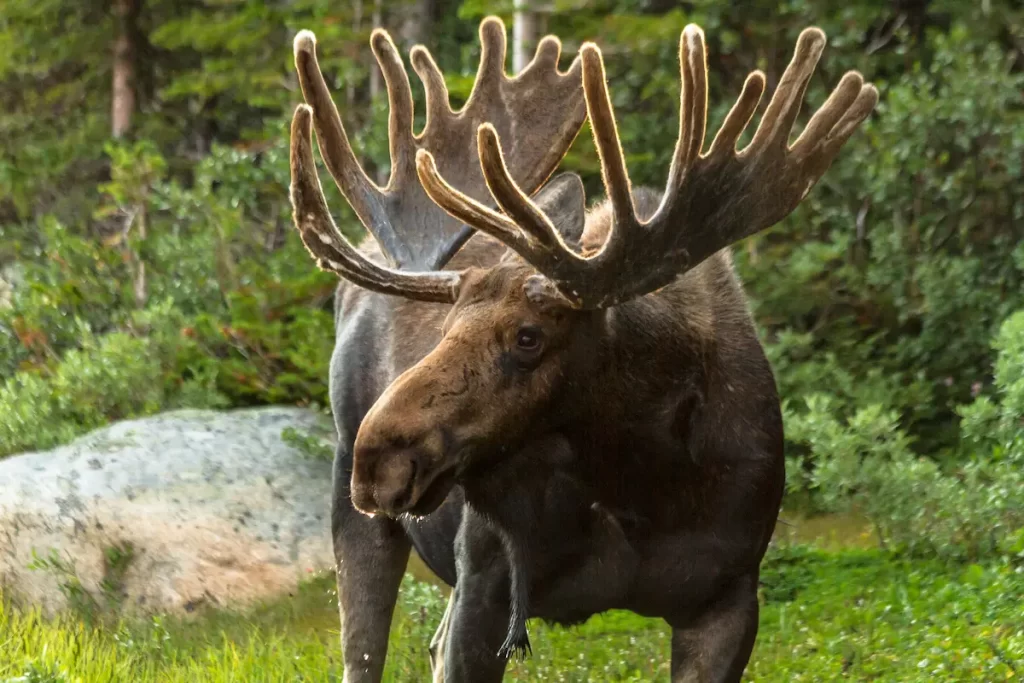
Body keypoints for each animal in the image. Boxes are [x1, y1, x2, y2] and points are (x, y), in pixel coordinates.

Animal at [286, 17, 872, 683]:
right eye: (446, 327)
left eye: (528, 336)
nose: (378, 458)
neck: (637, 479)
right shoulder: (484, 587)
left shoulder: (728, 599)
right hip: (358, 516)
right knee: (364, 654)